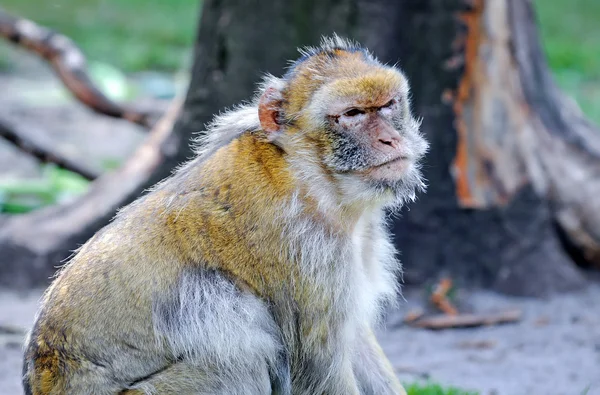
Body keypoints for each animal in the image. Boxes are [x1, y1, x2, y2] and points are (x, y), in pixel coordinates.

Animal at [22, 34, 426, 395]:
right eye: (352, 114)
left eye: (388, 105)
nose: (389, 139)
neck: (316, 180)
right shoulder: (310, 249)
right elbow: (318, 370)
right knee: (239, 345)